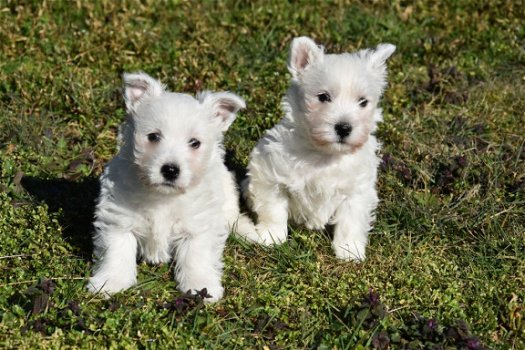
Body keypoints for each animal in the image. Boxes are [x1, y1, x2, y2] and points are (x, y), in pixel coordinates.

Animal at [88, 72, 252, 302]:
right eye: (153, 136)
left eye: (194, 143)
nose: (171, 170)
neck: (162, 196)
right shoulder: (119, 220)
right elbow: (117, 252)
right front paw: (110, 282)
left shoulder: (198, 226)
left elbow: (196, 256)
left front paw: (200, 286)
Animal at [241, 37, 392, 262]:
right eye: (323, 97)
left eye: (363, 102)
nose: (344, 128)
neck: (324, 155)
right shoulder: (270, 175)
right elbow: (273, 210)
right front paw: (271, 238)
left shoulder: (357, 190)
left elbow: (351, 221)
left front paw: (349, 251)